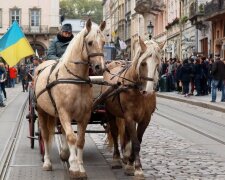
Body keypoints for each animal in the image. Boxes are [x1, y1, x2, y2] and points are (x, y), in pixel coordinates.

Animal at [34, 19, 105, 179]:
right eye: (90, 42)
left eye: (104, 42)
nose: (100, 67)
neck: (74, 79)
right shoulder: (64, 112)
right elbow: (71, 137)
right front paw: (73, 167)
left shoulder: (84, 115)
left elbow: (79, 140)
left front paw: (81, 167)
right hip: (42, 111)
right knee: (45, 135)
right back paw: (47, 162)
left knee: (60, 130)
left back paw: (64, 153)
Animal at [103, 37, 163, 179]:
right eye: (143, 63)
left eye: (157, 64)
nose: (148, 92)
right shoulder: (129, 117)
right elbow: (135, 143)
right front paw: (138, 169)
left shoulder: (145, 119)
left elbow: (138, 141)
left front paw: (130, 164)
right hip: (110, 112)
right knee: (114, 133)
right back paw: (116, 159)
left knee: (126, 135)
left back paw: (125, 157)